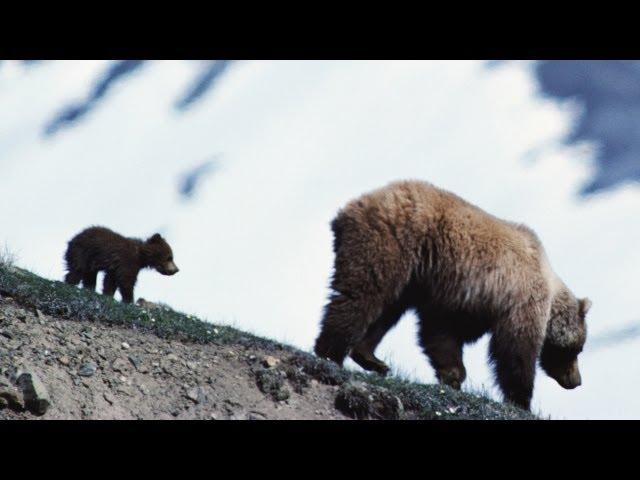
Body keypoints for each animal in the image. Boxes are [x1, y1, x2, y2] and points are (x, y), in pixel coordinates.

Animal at [316, 180, 592, 408]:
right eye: (578, 349)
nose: (576, 380)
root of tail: (350, 208)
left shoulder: (459, 299)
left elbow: (441, 332)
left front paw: (451, 375)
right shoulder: (519, 299)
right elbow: (515, 349)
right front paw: (521, 400)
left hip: (409, 275)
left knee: (386, 309)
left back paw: (372, 358)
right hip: (391, 241)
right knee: (361, 294)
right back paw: (330, 352)